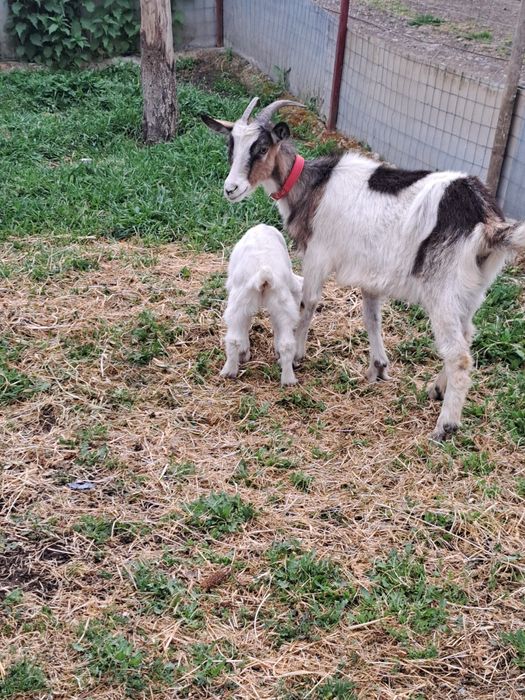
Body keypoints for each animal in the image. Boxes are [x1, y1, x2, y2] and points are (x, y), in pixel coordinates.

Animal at [220, 223, 303, 386]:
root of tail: (264, 276)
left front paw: (244, 354)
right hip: (280, 304)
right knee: (286, 344)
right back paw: (288, 380)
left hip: (239, 302)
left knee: (233, 339)